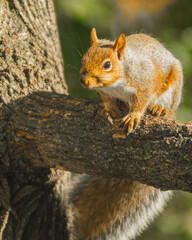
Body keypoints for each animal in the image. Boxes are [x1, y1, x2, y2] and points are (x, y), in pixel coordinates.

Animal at [65, 29, 183, 239]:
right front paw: (108, 108)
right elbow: (105, 99)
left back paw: (159, 110)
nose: (83, 81)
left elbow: (142, 99)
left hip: (174, 87)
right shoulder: (104, 91)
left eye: (107, 64)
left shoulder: (145, 78)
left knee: (167, 107)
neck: (116, 84)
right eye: (83, 58)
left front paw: (134, 115)